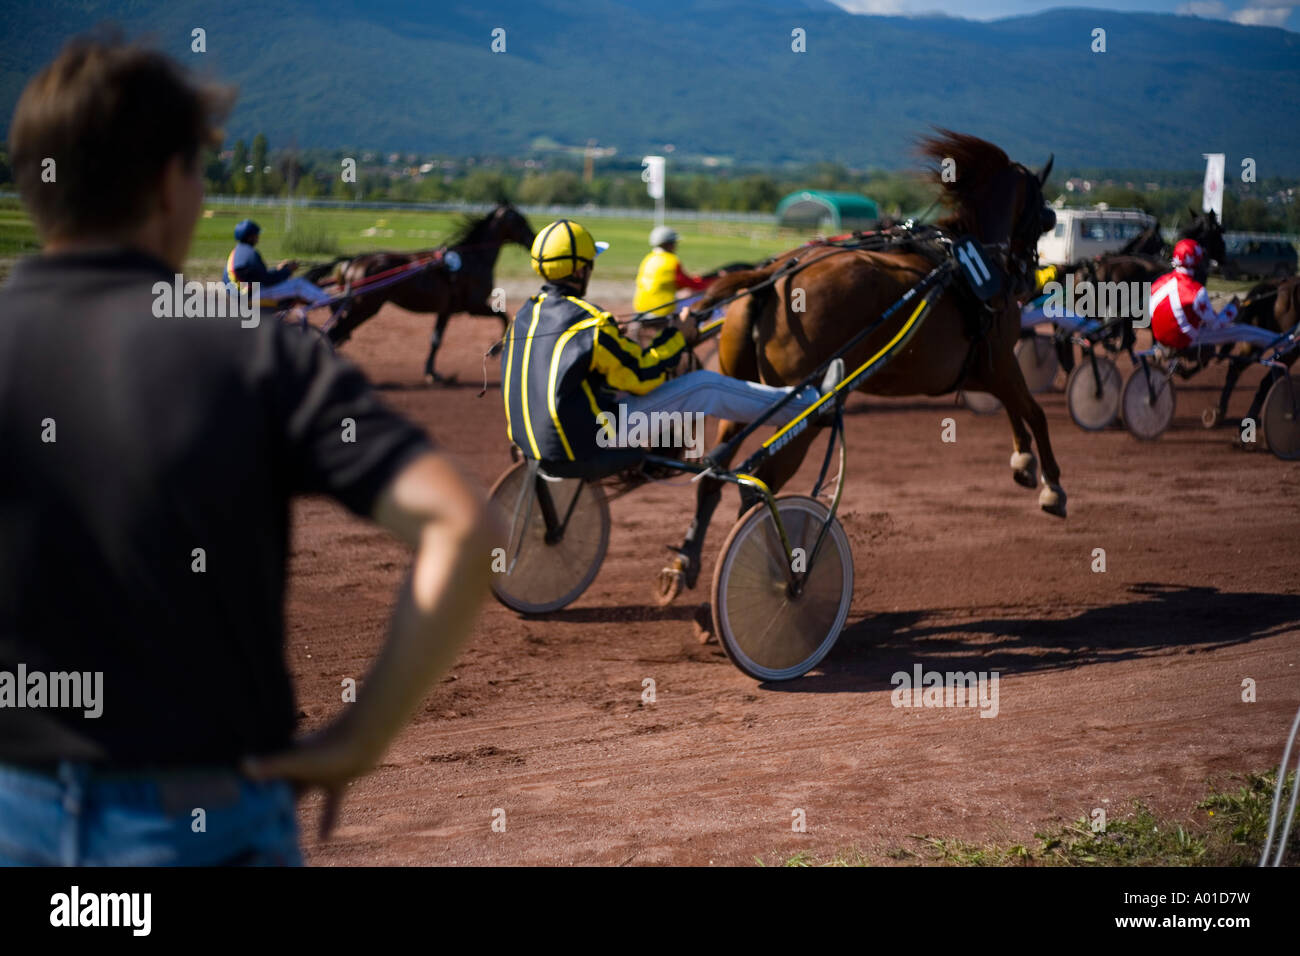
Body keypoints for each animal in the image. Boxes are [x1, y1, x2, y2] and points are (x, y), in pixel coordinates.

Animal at [665, 130, 1060, 598]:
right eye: (1044, 213)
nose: (1028, 278)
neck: (970, 258)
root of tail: (774, 275)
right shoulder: (998, 359)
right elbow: (1033, 411)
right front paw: (1052, 486)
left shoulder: (978, 369)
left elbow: (1015, 408)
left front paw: (1024, 462)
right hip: (809, 410)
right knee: (757, 487)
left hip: (739, 392)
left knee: (714, 474)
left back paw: (685, 562)